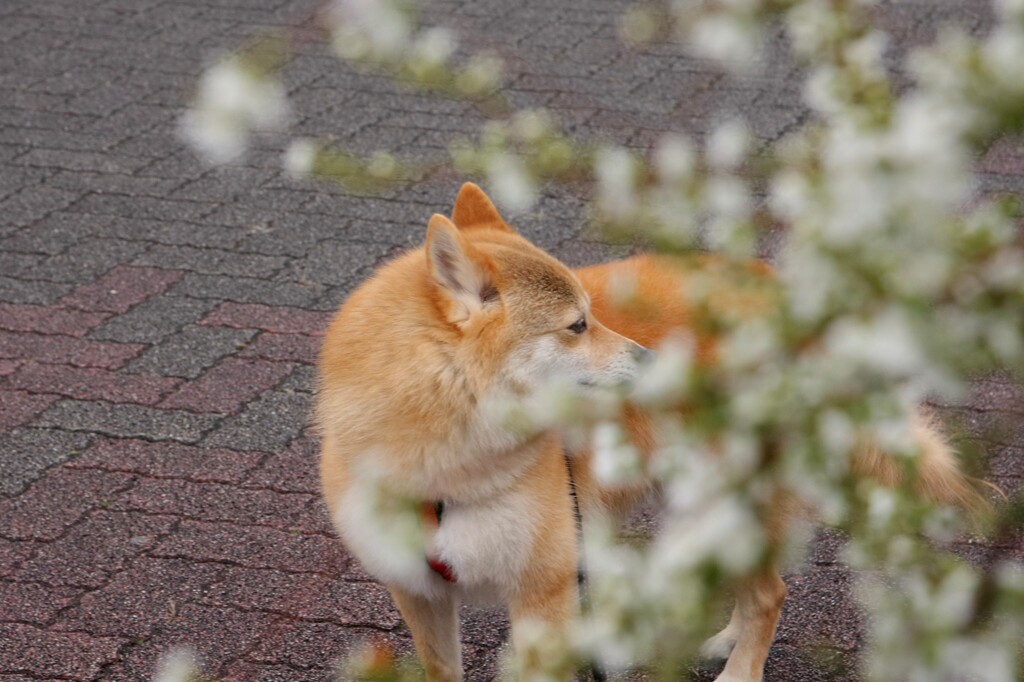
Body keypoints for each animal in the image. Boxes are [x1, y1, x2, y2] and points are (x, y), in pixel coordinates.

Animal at [313, 182, 983, 679]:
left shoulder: (545, 594)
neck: (443, 469)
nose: (654, 362)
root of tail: (789, 301)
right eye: (577, 326)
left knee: (770, 594)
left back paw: (739, 671)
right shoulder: (420, 594)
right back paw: (727, 637)